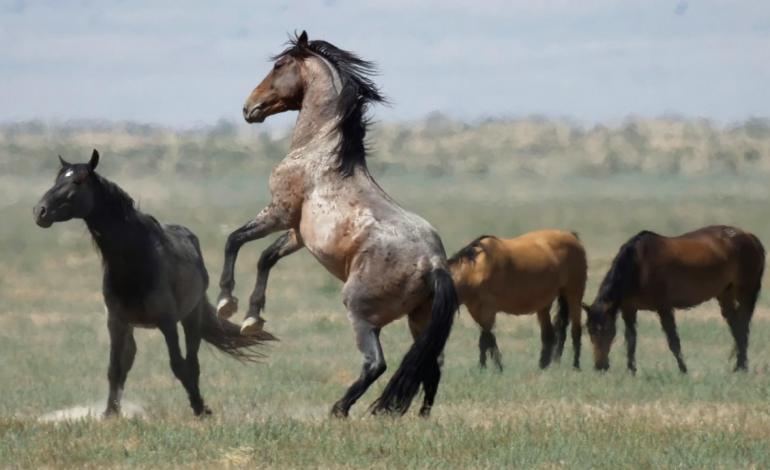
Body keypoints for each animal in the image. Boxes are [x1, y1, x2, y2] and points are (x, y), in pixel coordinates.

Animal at [33, 150, 274, 414]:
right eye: (57, 179)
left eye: (77, 181)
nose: (39, 211)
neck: (136, 261)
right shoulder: (116, 322)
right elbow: (114, 368)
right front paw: (109, 413)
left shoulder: (167, 322)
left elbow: (178, 365)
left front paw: (200, 407)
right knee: (128, 361)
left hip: (191, 317)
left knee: (192, 361)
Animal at [213, 31, 456, 416]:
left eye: (278, 66)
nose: (248, 108)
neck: (320, 152)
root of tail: (434, 264)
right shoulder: (297, 234)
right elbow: (266, 258)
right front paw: (252, 318)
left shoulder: (278, 213)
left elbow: (234, 240)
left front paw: (226, 302)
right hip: (419, 321)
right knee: (430, 364)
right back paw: (417, 417)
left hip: (360, 312)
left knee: (377, 364)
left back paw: (339, 410)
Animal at [448, 230, 584, 370]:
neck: (474, 271)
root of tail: (571, 235)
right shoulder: (476, 311)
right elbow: (487, 340)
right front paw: (489, 367)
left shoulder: (488, 311)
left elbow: (486, 340)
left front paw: (492, 368)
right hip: (544, 304)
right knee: (549, 334)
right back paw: (543, 366)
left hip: (574, 296)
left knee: (576, 330)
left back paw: (576, 366)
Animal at [584, 226, 760, 372]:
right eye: (589, 330)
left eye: (606, 329)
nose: (600, 366)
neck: (639, 266)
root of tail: (750, 236)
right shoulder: (629, 310)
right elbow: (631, 340)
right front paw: (631, 370)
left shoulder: (664, 308)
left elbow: (673, 340)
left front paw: (683, 369)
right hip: (725, 294)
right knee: (736, 326)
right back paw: (739, 366)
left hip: (746, 292)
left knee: (743, 326)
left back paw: (741, 367)